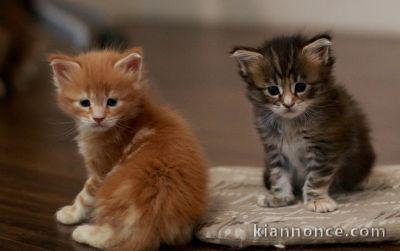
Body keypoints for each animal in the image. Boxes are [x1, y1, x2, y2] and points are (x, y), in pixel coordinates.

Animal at [48, 48, 208, 250]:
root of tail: (155, 217)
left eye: (111, 102)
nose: (98, 118)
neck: (128, 120)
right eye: (85, 103)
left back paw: (84, 232)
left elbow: (84, 195)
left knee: (115, 236)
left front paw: (71, 213)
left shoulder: (101, 171)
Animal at [231, 33, 376, 213]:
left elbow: (316, 177)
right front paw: (280, 198)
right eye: (273, 90)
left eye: (300, 87)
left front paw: (317, 200)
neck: (290, 123)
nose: (288, 104)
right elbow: (278, 175)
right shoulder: (274, 147)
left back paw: (362, 181)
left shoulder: (325, 146)